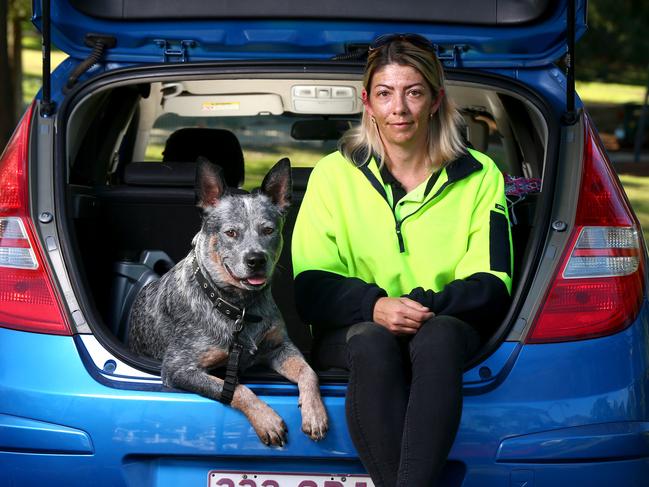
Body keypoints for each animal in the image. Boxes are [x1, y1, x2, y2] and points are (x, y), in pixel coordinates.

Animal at [128, 159, 326, 446]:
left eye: (268, 230)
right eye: (231, 232)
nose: (256, 259)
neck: (239, 307)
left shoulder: (279, 347)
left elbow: (309, 372)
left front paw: (315, 414)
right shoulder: (178, 369)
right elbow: (236, 389)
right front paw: (266, 420)